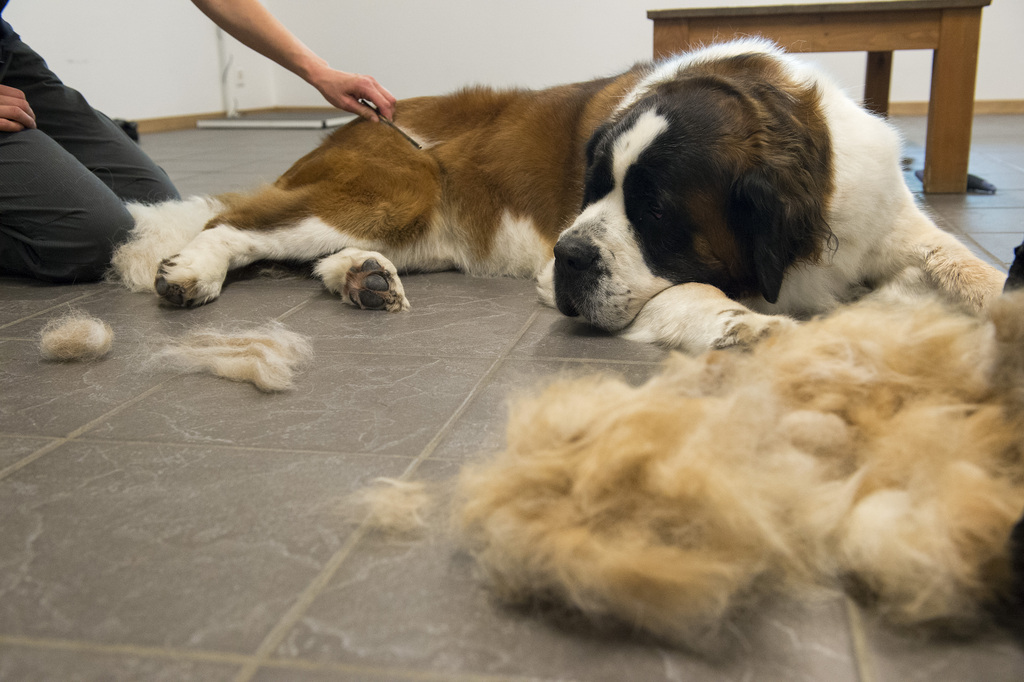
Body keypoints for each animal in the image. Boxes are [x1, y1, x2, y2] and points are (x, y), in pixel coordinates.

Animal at [116, 38, 1003, 350]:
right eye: (592, 188)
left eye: (654, 211)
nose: (572, 255)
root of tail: (363, 113)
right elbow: (685, 292)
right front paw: (743, 325)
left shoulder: (887, 223)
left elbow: (962, 263)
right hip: (392, 188)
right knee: (234, 223)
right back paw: (190, 272)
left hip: (410, 227)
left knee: (314, 254)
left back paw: (362, 278)